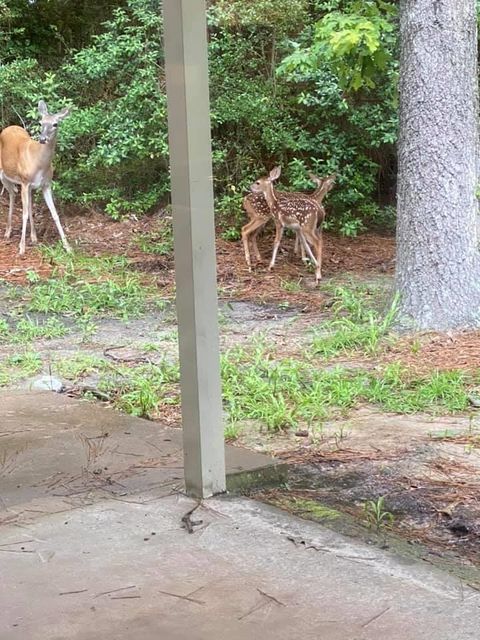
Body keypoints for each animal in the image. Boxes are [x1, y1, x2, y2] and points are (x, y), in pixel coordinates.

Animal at [0, 100, 71, 255]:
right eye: (40, 122)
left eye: (55, 124)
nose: (43, 139)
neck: (38, 162)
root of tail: (9, 127)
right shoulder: (24, 181)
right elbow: (24, 214)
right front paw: (21, 248)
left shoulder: (46, 184)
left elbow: (54, 213)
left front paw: (68, 247)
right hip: (5, 175)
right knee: (12, 194)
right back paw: (8, 232)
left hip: (28, 186)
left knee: (21, 198)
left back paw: (33, 237)